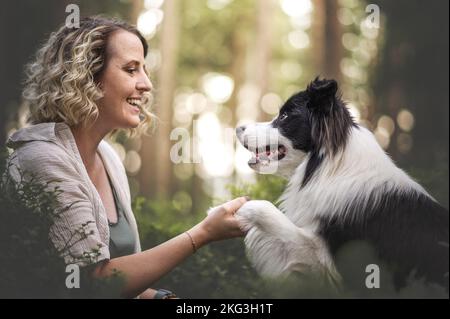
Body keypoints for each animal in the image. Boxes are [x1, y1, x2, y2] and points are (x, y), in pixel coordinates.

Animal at [237, 78, 448, 292]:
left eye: (285, 116)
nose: (238, 128)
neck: (328, 167)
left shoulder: (326, 259)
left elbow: (270, 216)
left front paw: (243, 209)